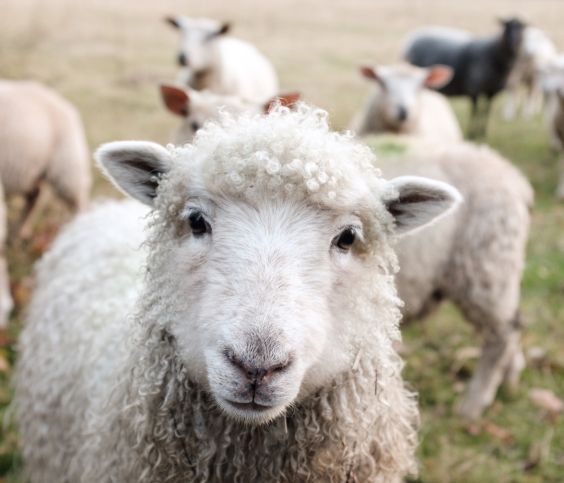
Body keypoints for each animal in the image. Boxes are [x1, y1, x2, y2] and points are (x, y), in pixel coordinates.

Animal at [0, 80, 91, 328]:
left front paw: (3, 304)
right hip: (28, 169)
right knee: (36, 196)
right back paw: (17, 233)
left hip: (66, 167)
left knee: (79, 203)